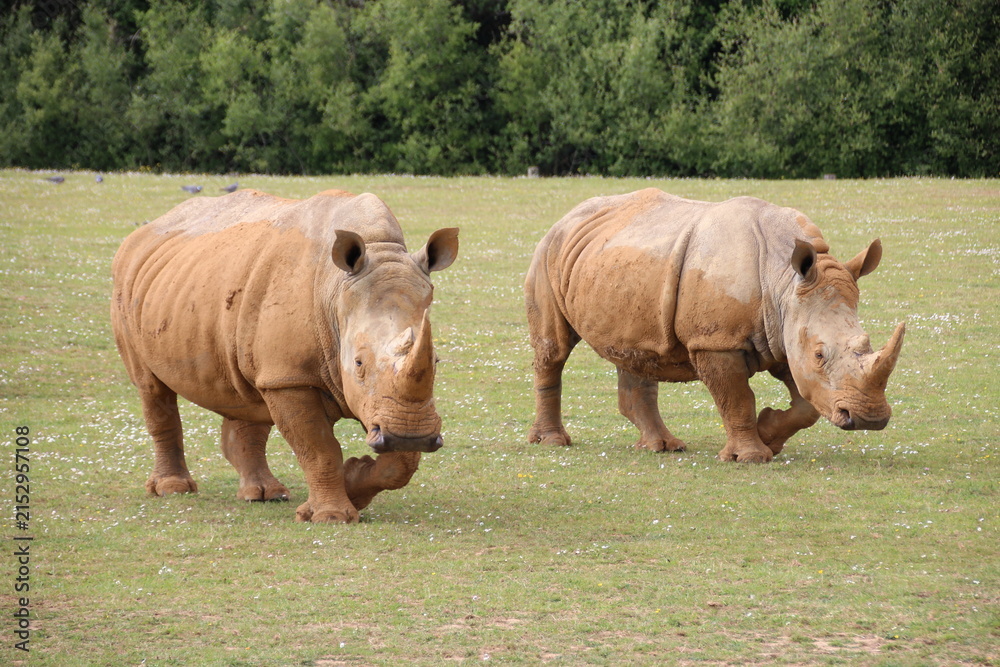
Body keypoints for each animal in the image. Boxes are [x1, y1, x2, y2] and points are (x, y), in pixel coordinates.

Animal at [111, 189, 458, 522]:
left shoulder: (388, 407)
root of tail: (148, 228)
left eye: (436, 361)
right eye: (358, 363)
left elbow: (402, 462)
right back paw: (173, 489)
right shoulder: (290, 377)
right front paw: (331, 516)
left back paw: (264, 494)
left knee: (247, 393)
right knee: (152, 388)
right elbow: (319, 449)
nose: (413, 435)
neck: (336, 290)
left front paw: (353, 483)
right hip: (127, 285)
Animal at [525, 189, 904, 462]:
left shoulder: (784, 331)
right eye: (820, 355)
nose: (870, 420)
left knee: (637, 350)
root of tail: (567, 216)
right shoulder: (716, 341)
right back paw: (553, 443)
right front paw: (750, 457)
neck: (783, 282)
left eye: (866, 343)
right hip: (547, 252)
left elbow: (807, 404)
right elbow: (736, 398)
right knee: (553, 351)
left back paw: (662, 447)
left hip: (618, 265)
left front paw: (769, 434)